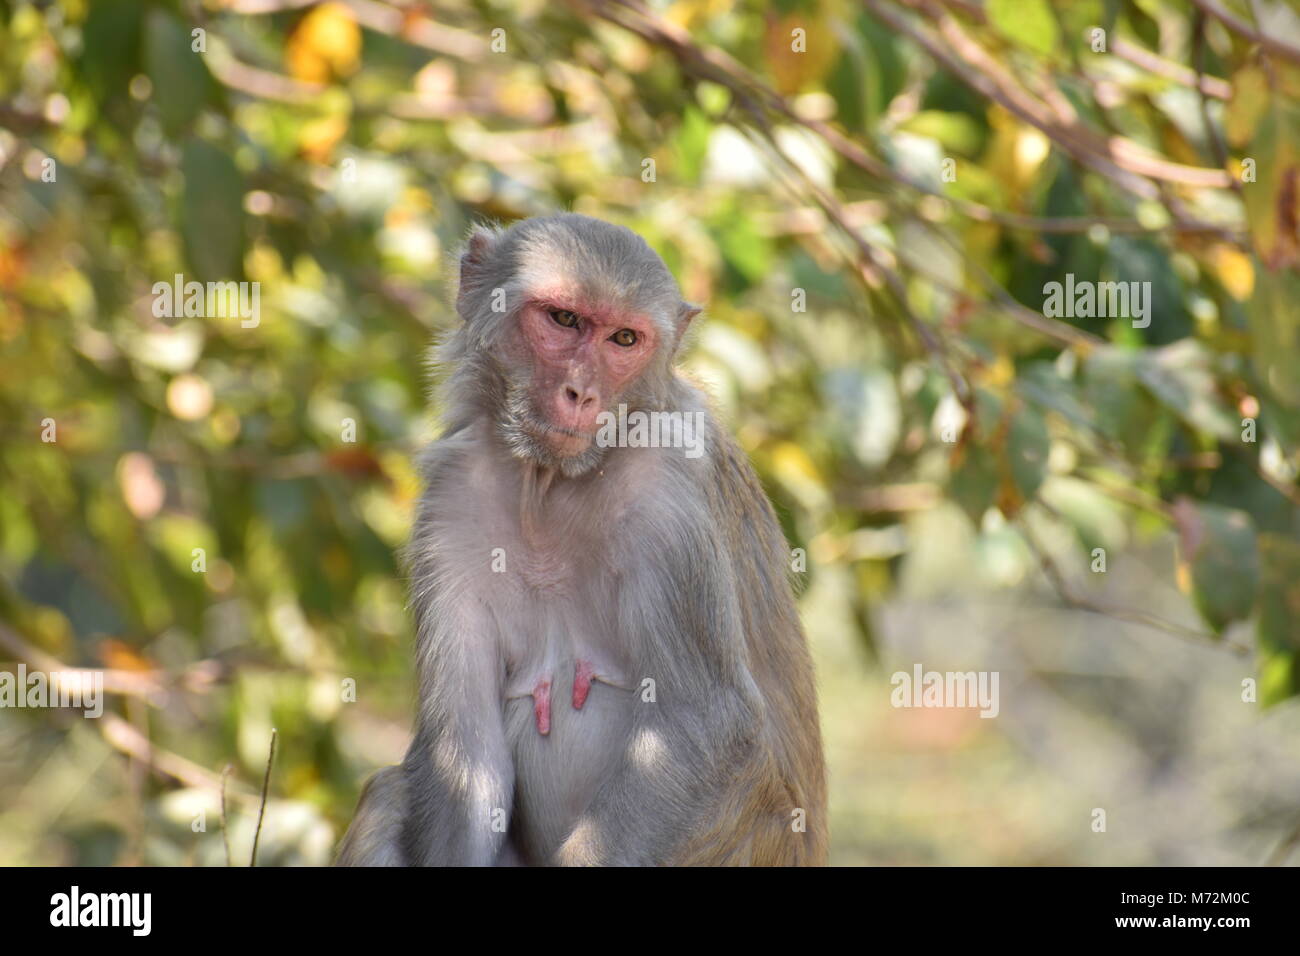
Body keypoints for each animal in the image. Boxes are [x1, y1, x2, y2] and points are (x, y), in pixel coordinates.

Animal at [335, 214, 821, 868]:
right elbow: (466, 752)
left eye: (624, 339)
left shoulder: (666, 490)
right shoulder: (451, 497)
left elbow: (705, 720)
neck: (552, 483)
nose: (581, 394)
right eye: (564, 319)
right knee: (390, 791)